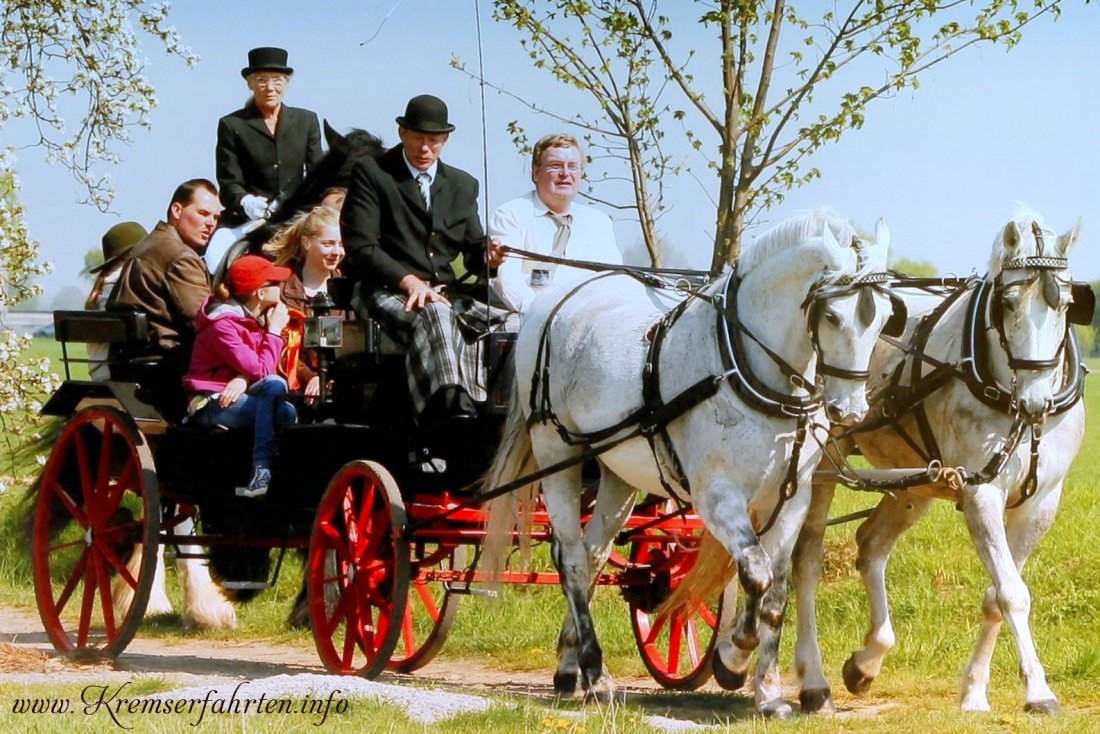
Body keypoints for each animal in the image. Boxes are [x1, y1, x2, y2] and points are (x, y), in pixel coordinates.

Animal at [486, 209, 897, 713]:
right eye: (834, 315)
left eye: (884, 318)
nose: (850, 410)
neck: (746, 367)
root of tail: (554, 301)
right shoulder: (717, 495)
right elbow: (755, 573)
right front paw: (734, 654)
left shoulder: (792, 496)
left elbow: (776, 592)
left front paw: (769, 692)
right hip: (557, 454)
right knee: (573, 562)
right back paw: (597, 675)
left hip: (616, 473)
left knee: (594, 553)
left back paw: (569, 667)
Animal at [778, 203, 1086, 713]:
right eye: (1007, 303)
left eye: (1063, 304)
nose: (1035, 400)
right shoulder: (981, 493)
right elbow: (1012, 594)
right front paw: (1039, 692)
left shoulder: (1042, 504)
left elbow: (995, 594)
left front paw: (975, 691)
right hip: (823, 463)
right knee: (807, 558)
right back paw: (814, 681)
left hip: (916, 482)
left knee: (871, 544)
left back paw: (867, 661)